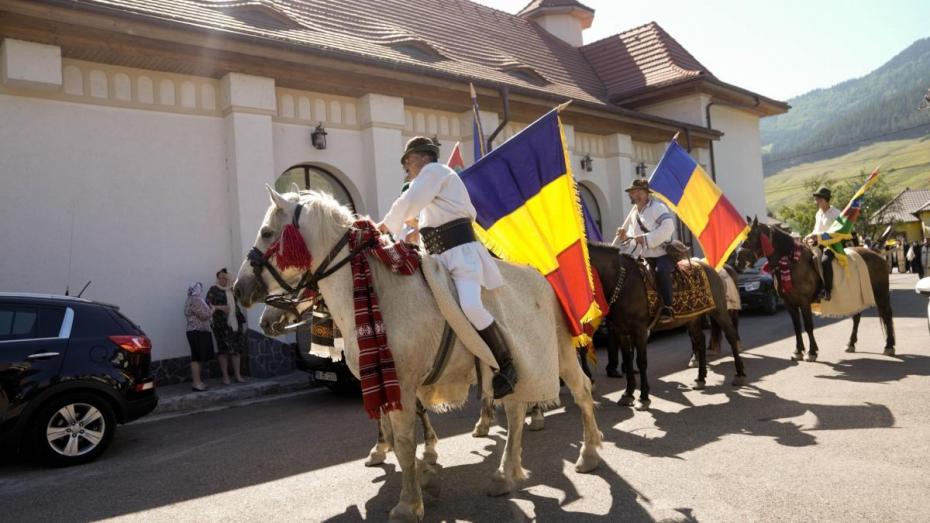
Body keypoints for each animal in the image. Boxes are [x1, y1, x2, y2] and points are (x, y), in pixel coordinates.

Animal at [237, 188, 600, 523]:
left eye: (267, 232)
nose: (241, 290)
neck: (380, 292)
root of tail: (543, 277)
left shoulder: (401, 383)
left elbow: (404, 441)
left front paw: (408, 503)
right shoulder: (388, 383)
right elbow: (396, 437)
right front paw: (423, 474)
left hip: (558, 353)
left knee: (580, 390)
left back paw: (589, 454)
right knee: (514, 409)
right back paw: (505, 474)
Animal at [588, 242, 748, 410]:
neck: (623, 282)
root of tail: (710, 267)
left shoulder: (640, 331)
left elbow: (641, 362)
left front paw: (643, 398)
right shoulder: (621, 332)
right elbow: (628, 360)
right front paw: (627, 394)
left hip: (719, 311)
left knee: (731, 336)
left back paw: (740, 375)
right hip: (693, 318)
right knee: (700, 341)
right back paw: (701, 379)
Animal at [740, 218, 892, 360]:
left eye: (751, 236)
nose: (738, 260)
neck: (792, 262)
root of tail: (875, 252)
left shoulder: (804, 301)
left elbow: (808, 326)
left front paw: (812, 352)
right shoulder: (790, 303)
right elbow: (796, 327)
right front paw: (798, 351)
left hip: (881, 293)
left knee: (887, 315)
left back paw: (889, 346)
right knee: (857, 317)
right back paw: (851, 344)